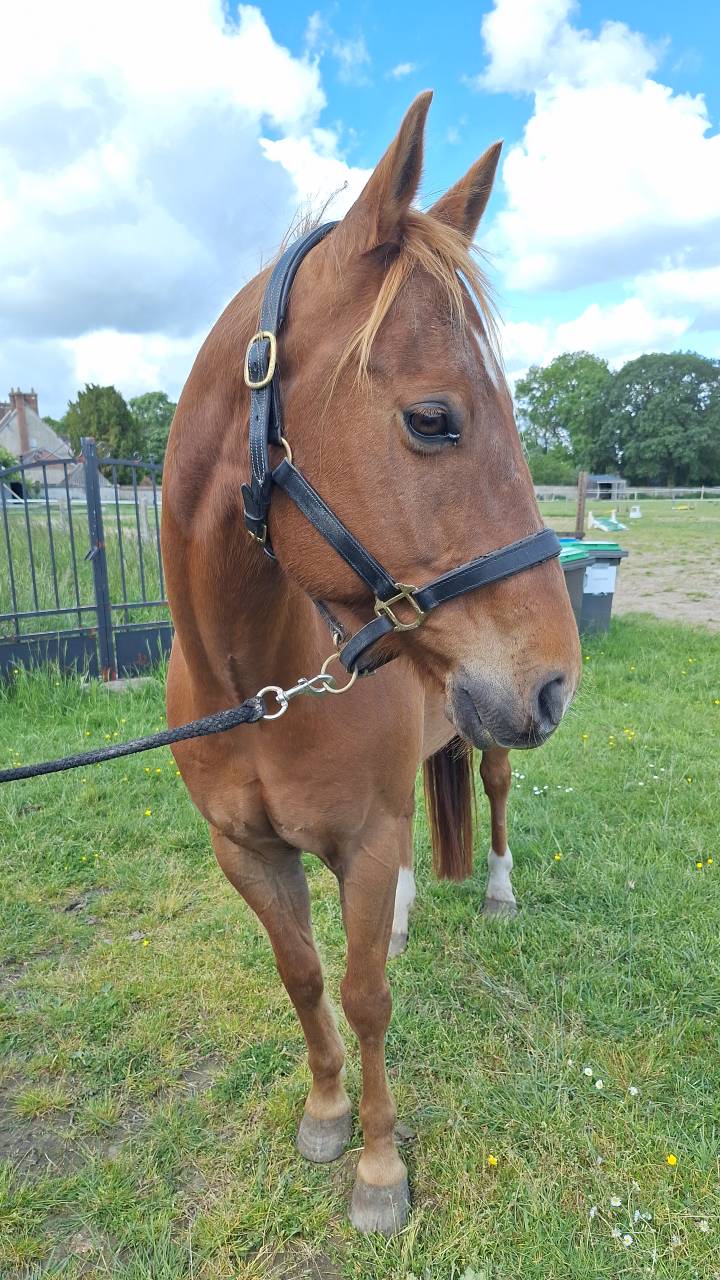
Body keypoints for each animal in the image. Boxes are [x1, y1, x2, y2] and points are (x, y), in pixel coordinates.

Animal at [161, 91, 581, 1236]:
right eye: (432, 418)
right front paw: (324, 1114)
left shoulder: (365, 835)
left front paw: (381, 1168)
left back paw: (496, 891)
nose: (556, 680)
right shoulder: (249, 855)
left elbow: (365, 998)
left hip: (485, 745)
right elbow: (307, 978)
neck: (255, 689)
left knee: (493, 793)